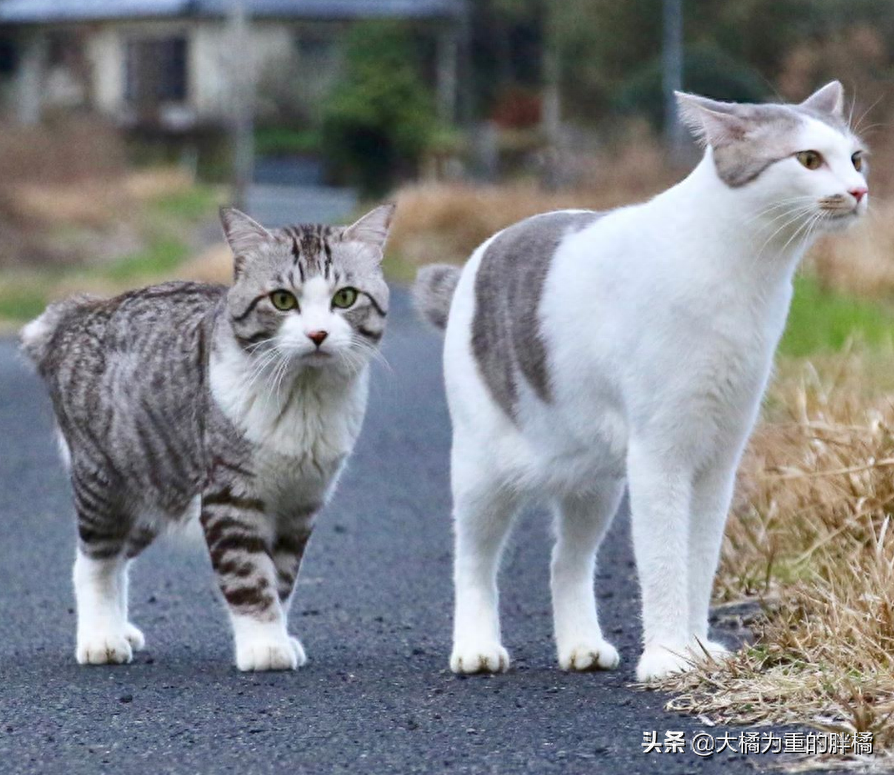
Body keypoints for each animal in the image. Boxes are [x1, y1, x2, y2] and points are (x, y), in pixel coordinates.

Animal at [21, 203, 396, 668]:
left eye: (344, 297)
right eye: (283, 300)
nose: (317, 334)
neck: (304, 401)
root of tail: (77, 311)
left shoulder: (301, 504)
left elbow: (281, 577)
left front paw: (278, 633)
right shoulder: (230, 494)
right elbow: (249, 576)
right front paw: (264, 646)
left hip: (156, 483)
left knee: (120, 557)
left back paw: (121, 629)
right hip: (105, 482)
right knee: (95, 560)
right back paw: (100, 638)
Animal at [412, 82, 868, 684]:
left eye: (855, 158)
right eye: (809, 160)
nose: (859, 189)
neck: (747, 276)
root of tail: (472, 263)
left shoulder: (718, 460)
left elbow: (699, 560)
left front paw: (697, 649)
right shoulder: (660, 455)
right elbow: (665, 561)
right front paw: (668, 658)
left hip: (593, 484)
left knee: (567, 561)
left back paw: (581, 645)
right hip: (482, 472)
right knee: (474, 561)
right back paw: (476, 649)